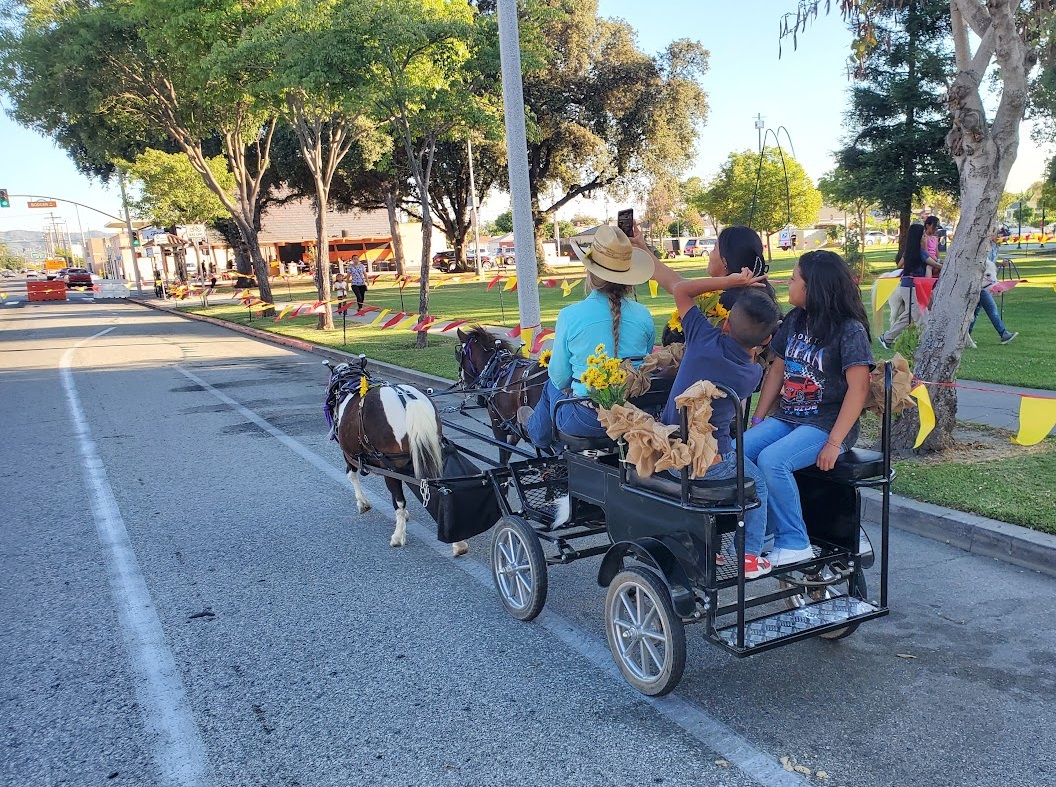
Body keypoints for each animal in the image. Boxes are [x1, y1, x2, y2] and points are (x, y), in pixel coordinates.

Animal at [325, 359, 466, 557]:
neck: (350, 382)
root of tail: (408, 400)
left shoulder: (349, 455)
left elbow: (351, 475)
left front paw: (363, 503)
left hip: (389, 467)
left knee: (399, 500)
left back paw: (398, 536)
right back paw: (457, 542)